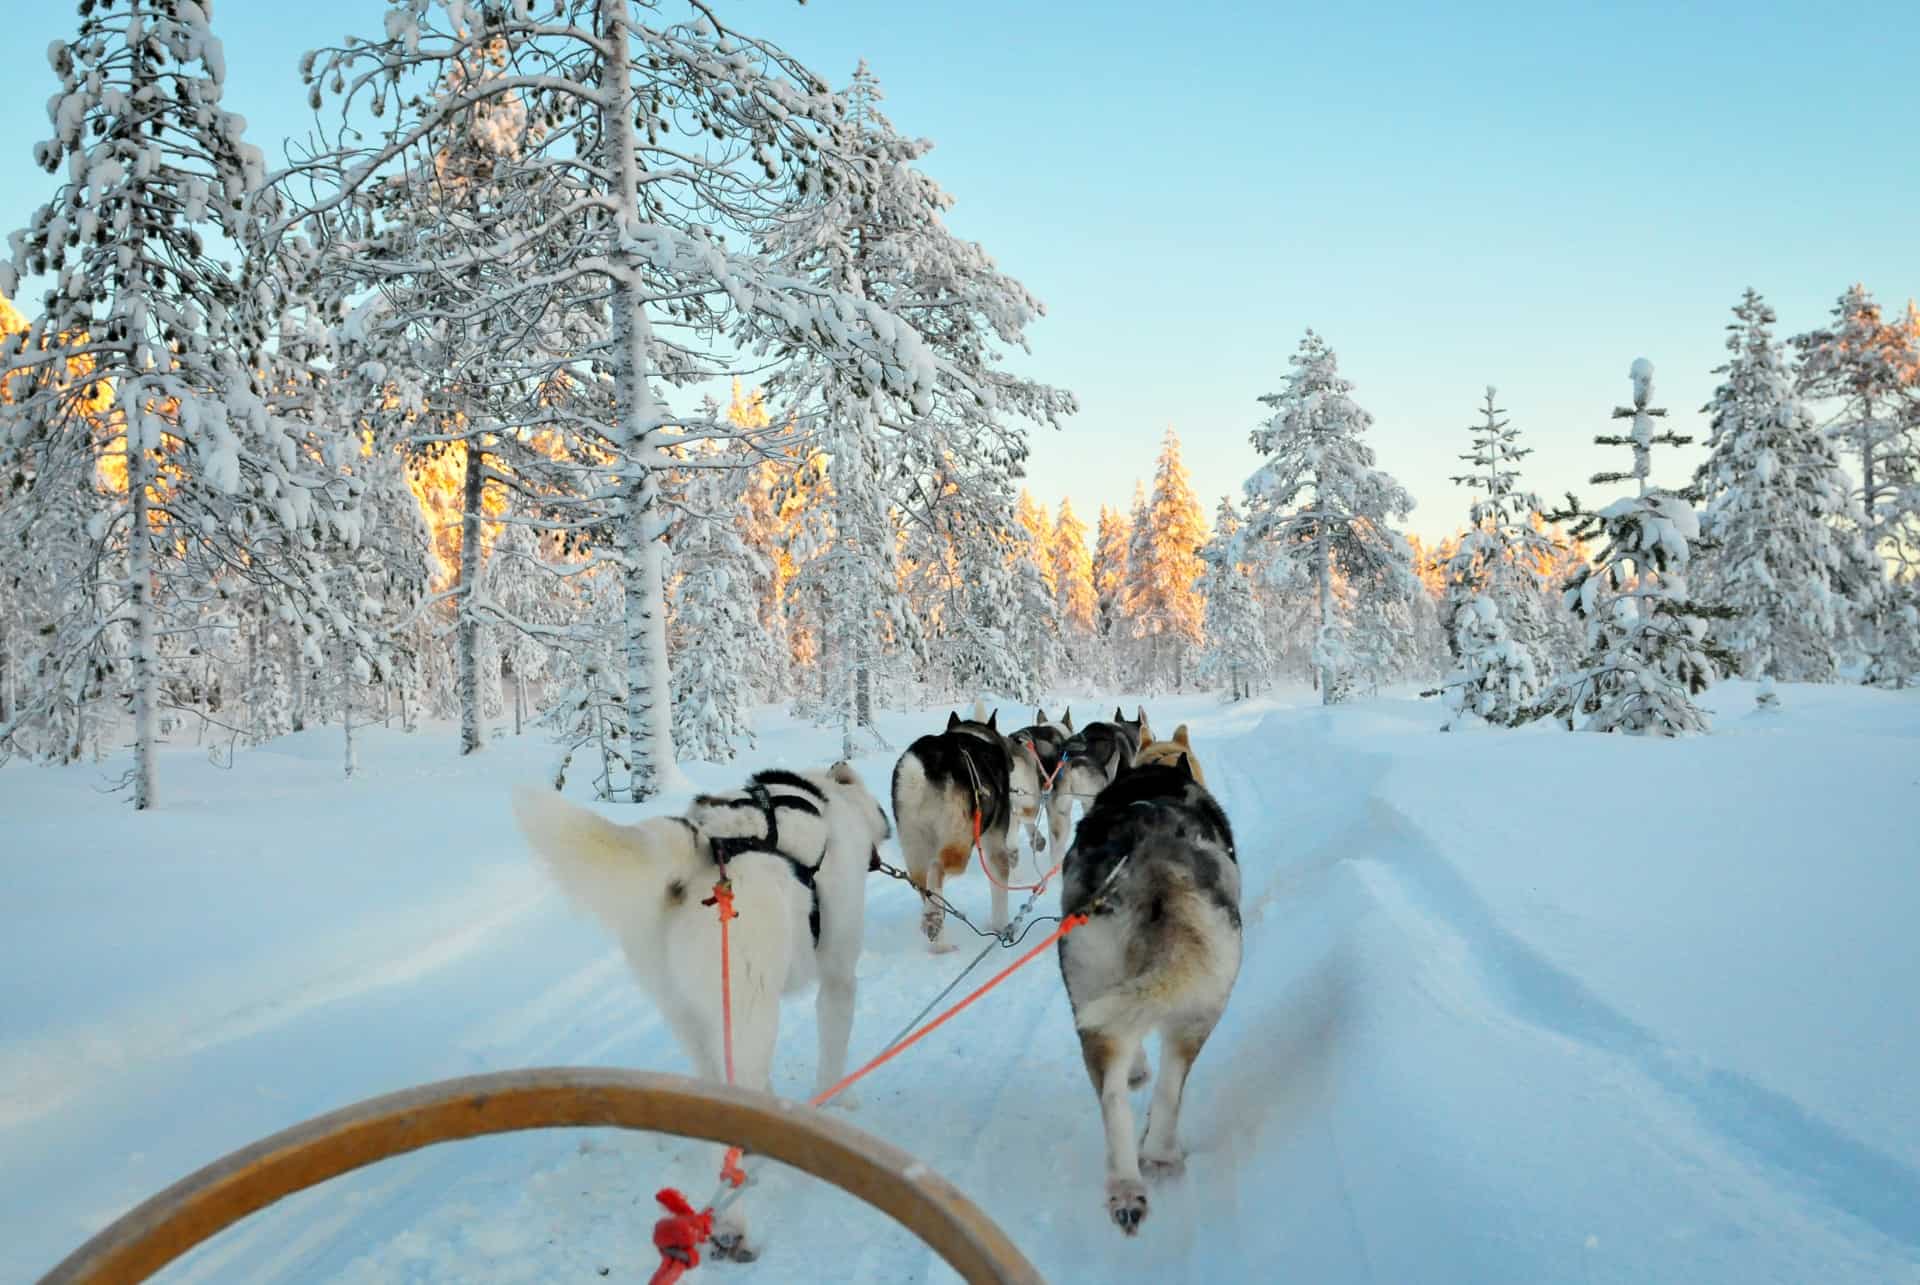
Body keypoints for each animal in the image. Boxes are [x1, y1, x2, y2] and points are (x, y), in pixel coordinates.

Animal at [518, 760, 890, 1252]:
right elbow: (833, 1057)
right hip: (749, 1013)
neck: (828, 802)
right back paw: (734, 1224)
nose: (886, 824)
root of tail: (702, 844)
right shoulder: (838, 979)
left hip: (688, 1015)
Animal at [890, 706, 1021, 948]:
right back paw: (933, 918)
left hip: (914, 846)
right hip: (959, 842)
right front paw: (1000, 927)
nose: (1013, 764)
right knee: (936, 869)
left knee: (926, 887)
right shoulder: (995, 847)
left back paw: (939, 940)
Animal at [1059, 752, 1236, 1229]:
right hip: (1201, 1012)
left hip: (1100, 1002)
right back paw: (1158, 1156)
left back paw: (1128, 1184)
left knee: (1115, 1095)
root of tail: (1156, 862)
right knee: (1171, 1084)